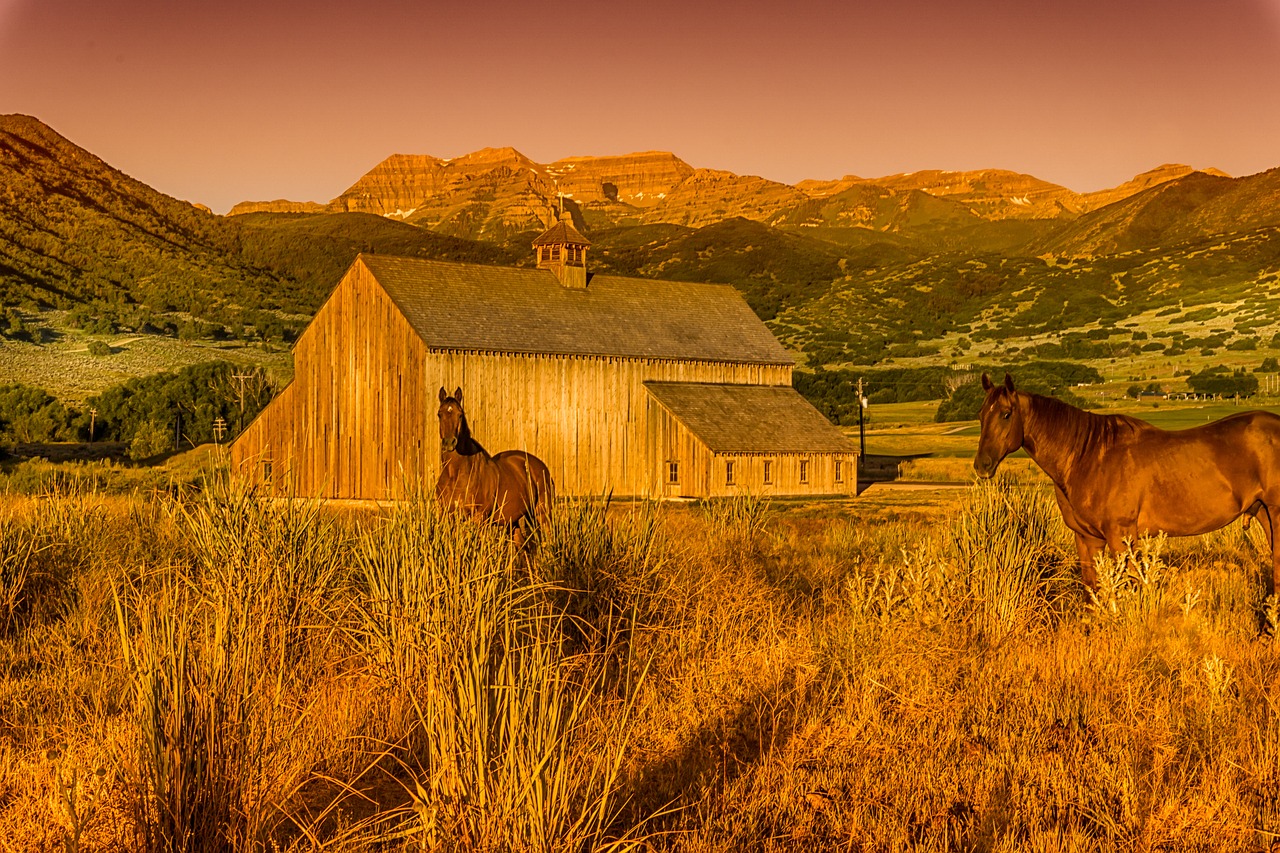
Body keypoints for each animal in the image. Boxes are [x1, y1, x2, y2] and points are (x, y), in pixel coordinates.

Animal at [432, 386, 552, 545]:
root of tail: (541, 466)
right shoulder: (447, 515)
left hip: (542, 513)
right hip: (513, 520)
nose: (449, 442)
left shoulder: (479, 518)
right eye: (440, 414)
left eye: (460, 414)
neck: (456, 475)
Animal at [967, 371, 1280, 591]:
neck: (1089, 455)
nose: (982, 465)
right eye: (980, 415)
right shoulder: (1087, 539)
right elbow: (1093, 589)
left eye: (1006, 414)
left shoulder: (1120, 538)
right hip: (1263, 513)